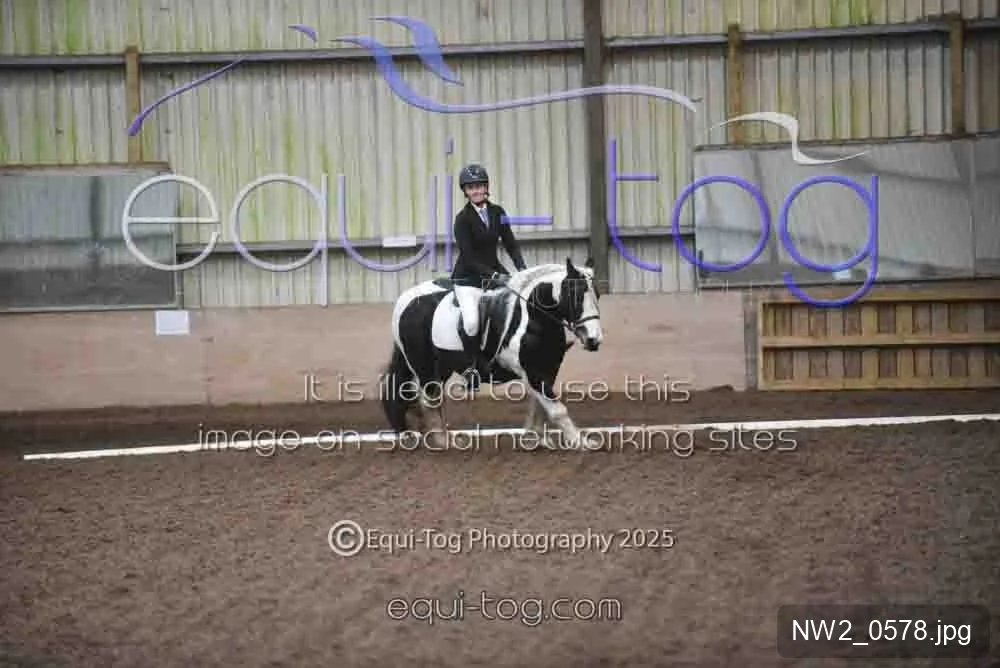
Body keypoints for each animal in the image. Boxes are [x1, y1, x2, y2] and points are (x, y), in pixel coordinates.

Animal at [379, 257, 604, 450]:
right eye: (575, 295)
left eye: (598, 294)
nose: (593, 340)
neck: (532, 319)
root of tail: (405, 298)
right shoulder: (533, 373)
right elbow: (557, 409)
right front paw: (581, 443)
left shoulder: (546, 370)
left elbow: (539, 407)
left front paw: (537, 438)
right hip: (422, 365)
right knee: (429, 400)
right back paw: (442, 442)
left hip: (441, 367)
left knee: (434, 398)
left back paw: (442, 438)